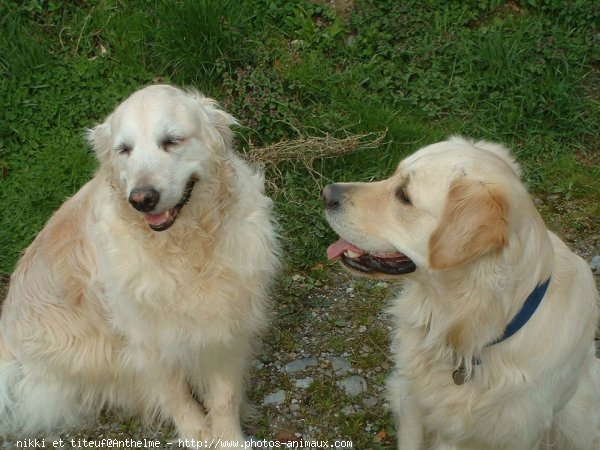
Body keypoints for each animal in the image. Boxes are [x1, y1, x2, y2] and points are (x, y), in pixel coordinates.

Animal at [0, 85, 278, 446]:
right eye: (124, 150)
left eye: (172, 140)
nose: (142, 199)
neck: (184, 247)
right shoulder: (148, 340)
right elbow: (177, 397)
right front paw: (197, 436)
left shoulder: (226, 327)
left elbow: (224, 397)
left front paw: (228, 439)